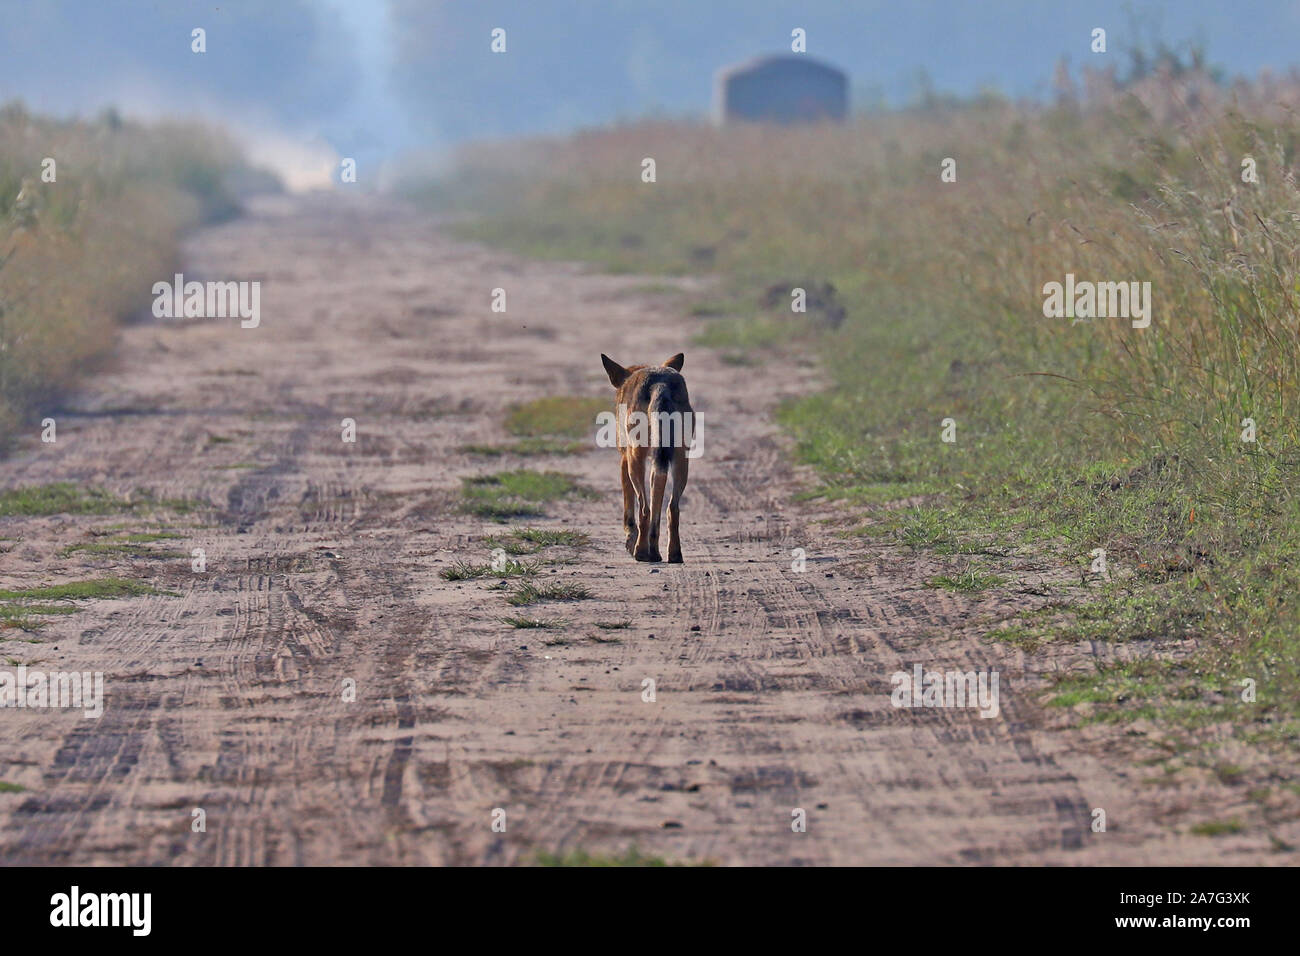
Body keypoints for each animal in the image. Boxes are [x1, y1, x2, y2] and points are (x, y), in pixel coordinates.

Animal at [600, 352, 693, 563]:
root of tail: (660, 383)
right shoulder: (658, 461)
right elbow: (656, 512)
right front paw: (654, 549)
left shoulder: (625, 460)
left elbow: (630, 512)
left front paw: (631, 540)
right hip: (680, 461)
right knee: (671, 509)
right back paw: (671, 554)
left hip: (637, 460)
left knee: (644, 509)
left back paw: (641, 552)